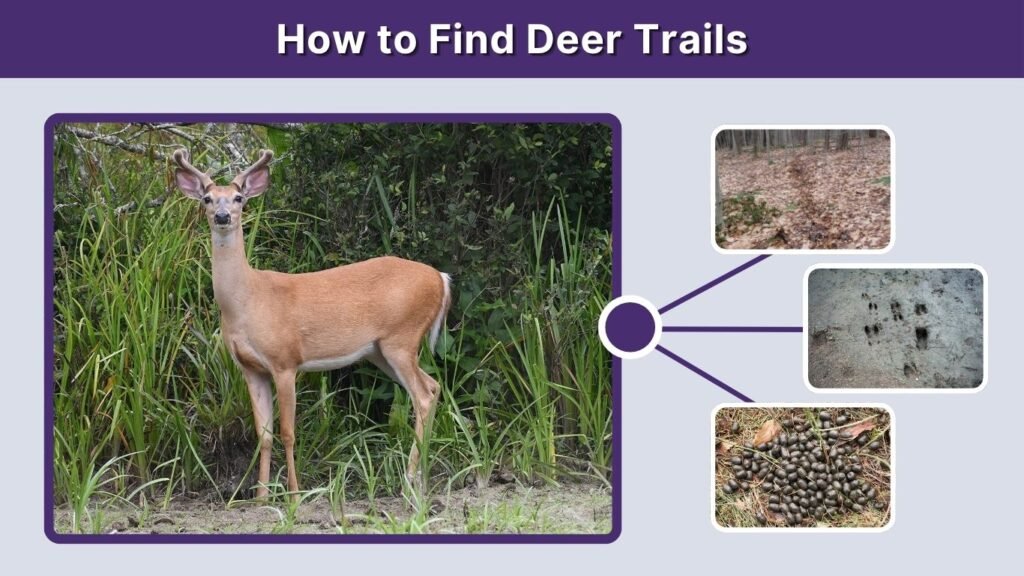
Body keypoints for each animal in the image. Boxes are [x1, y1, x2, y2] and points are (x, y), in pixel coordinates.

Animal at [172, 148, 452, 501]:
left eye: (239, 198)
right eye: (207, 199)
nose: (223, 216)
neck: (247, 300)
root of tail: (440, 279)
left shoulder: (285, 361)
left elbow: (287, 432)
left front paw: (293, 493)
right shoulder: (250, 368)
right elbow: (263, 433)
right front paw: (261, 496)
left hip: (402, 337)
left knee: (423, 395)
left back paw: (409, 479)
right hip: (380, 351)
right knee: (433, 385)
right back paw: (423, 479)